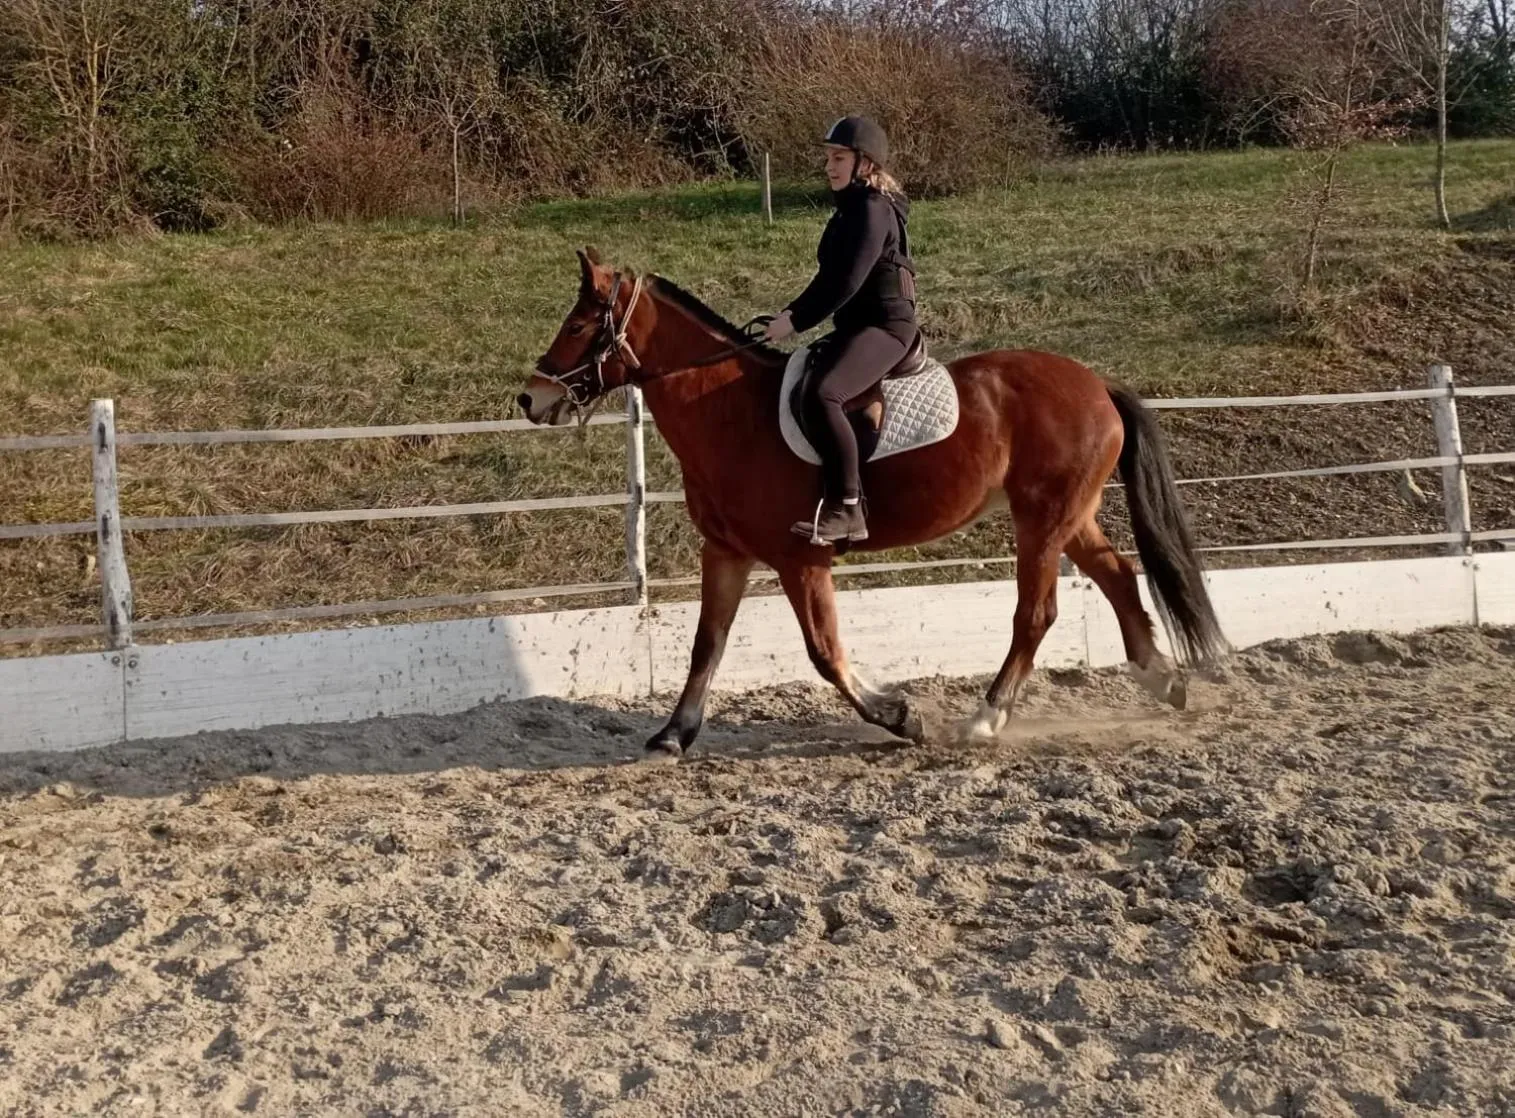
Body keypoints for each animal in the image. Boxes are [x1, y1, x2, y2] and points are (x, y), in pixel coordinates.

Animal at [518, 247, 1227, 761]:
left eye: (578, 325)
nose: (530, 399)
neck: (727, 410)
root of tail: (1097, 384)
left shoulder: (801, 560)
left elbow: (824, 652)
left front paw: (898, 716)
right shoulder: (725, 552)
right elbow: (706, 645)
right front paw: (673, 733)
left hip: (1041, 522)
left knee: (1036, 614)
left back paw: (985, 720)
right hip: (1067, 517)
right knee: (1118, 575)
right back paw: (1162, 679)